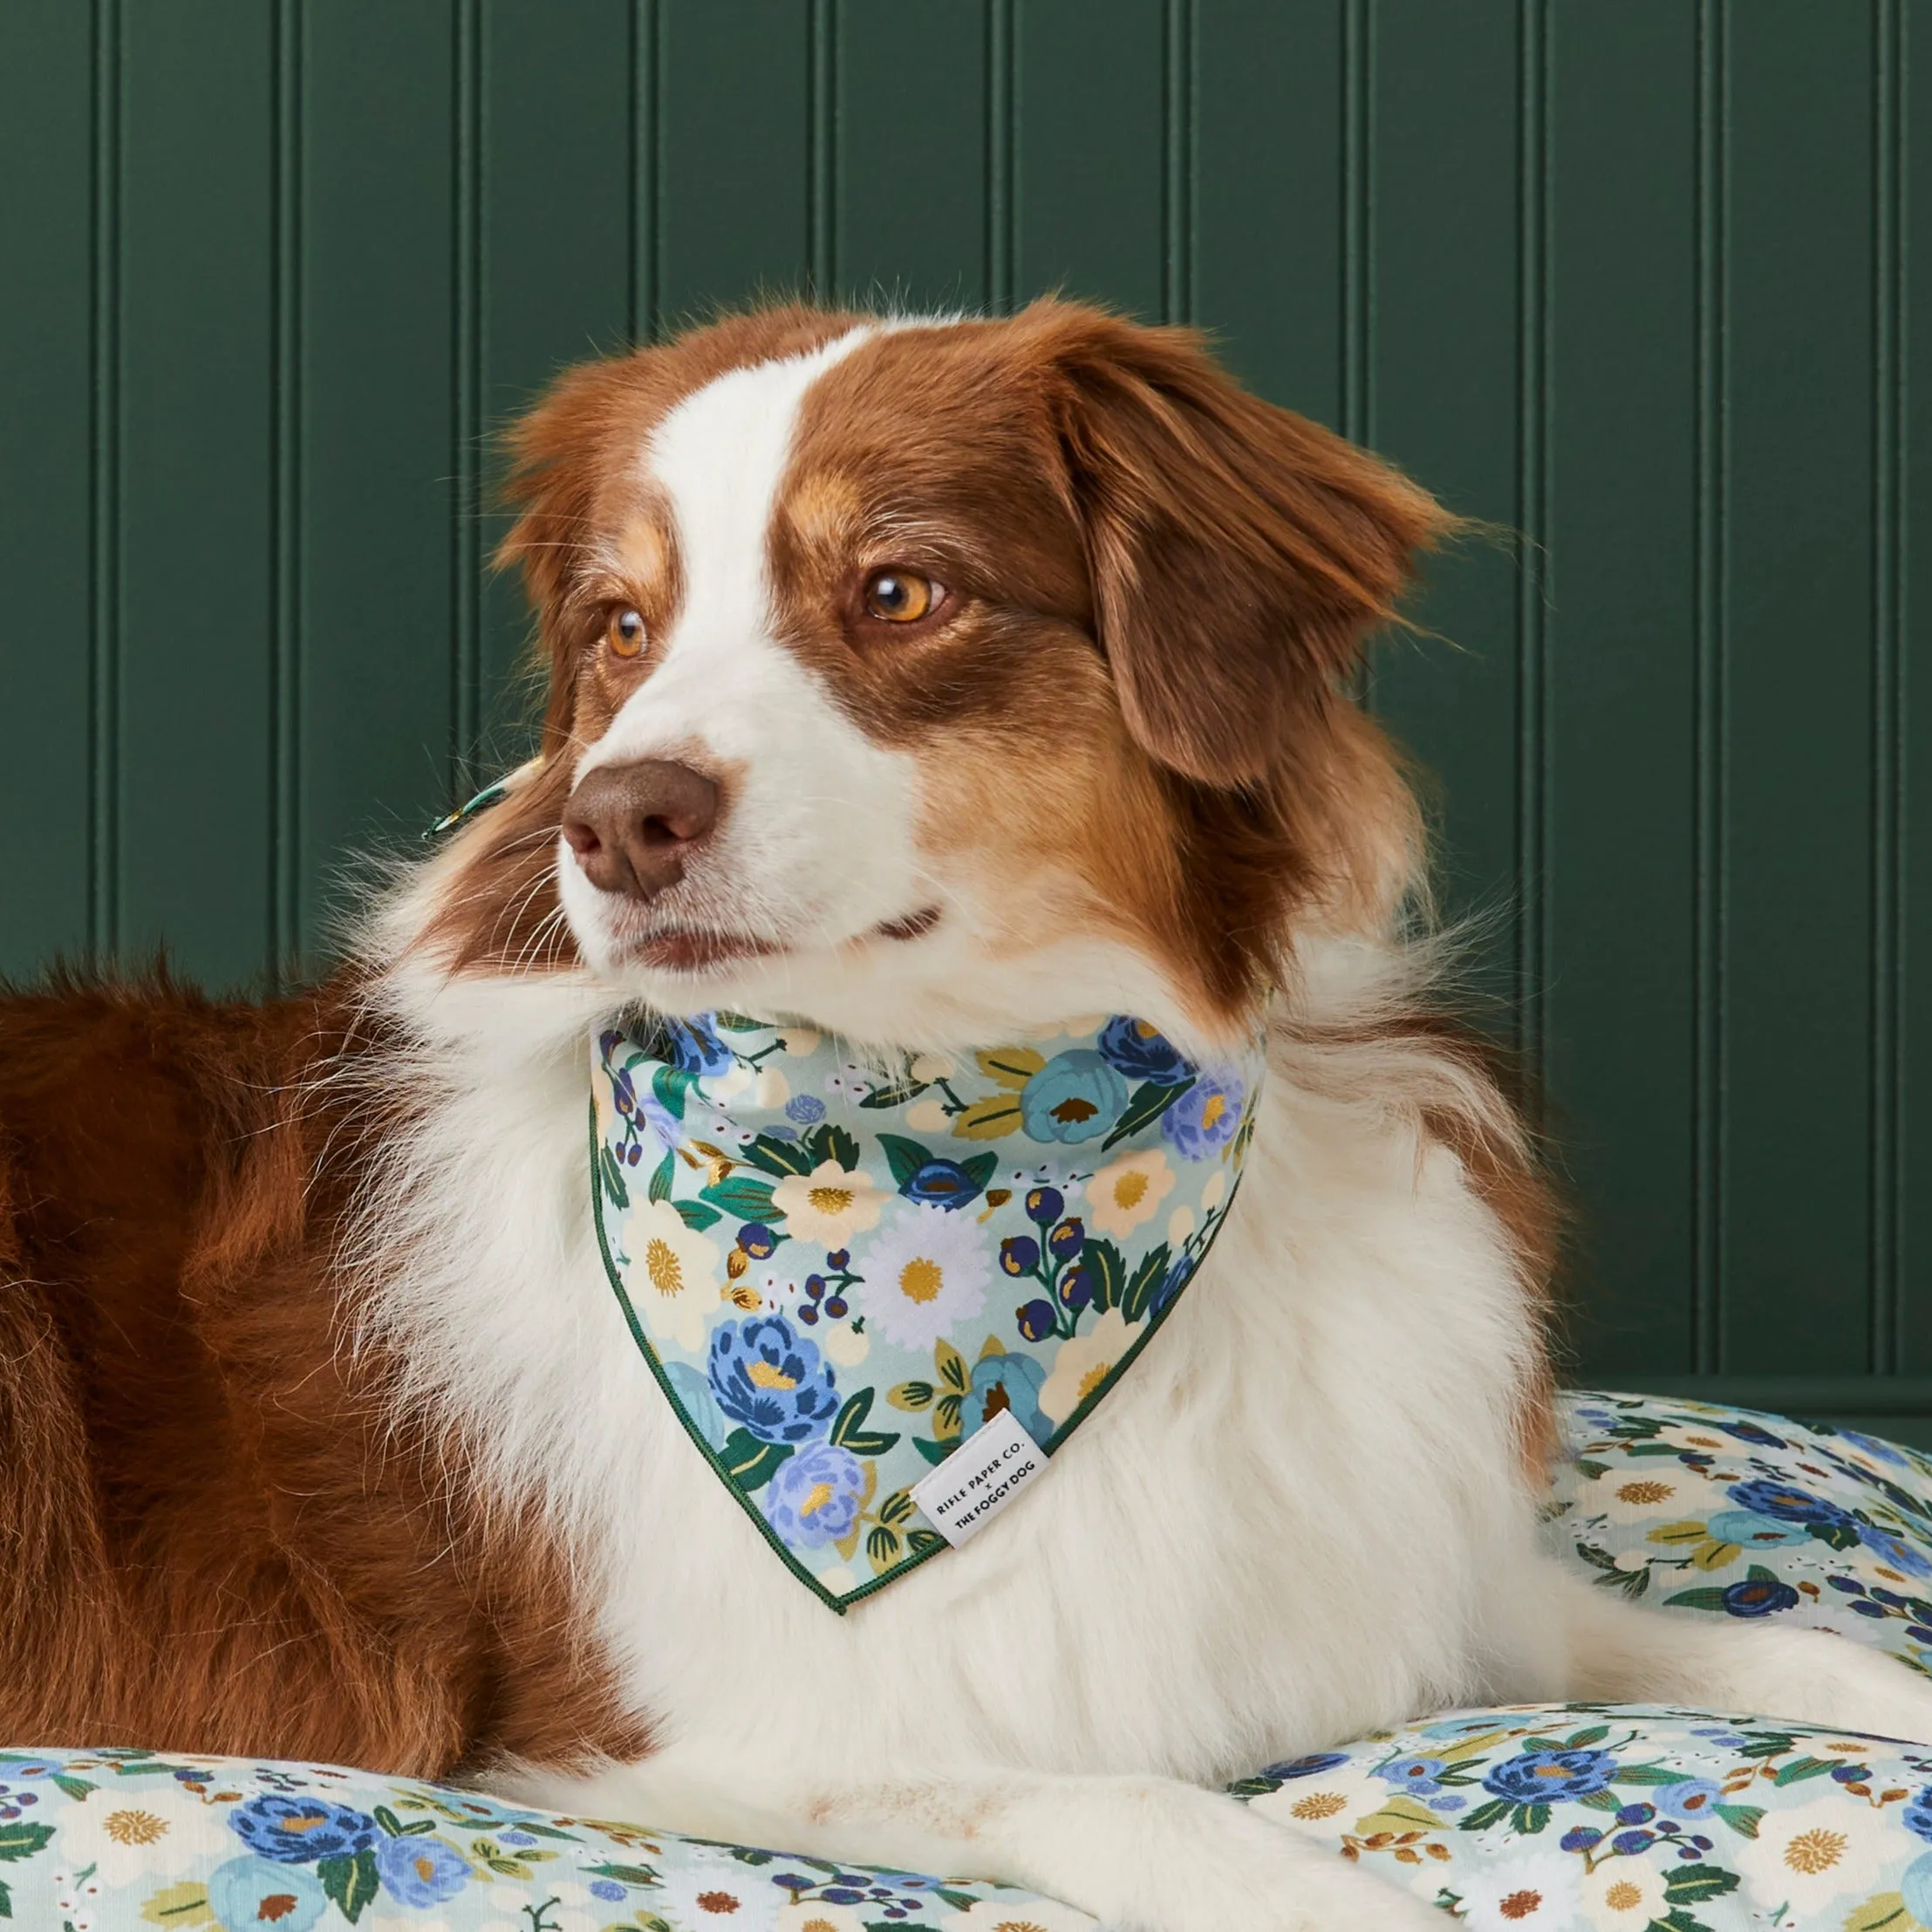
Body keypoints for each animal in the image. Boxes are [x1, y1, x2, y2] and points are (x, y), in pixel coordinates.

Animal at [3, 293, 1932, 1924]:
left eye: (897, 593)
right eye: (622, 627)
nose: (616, 820)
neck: (961, 1151)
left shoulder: (1410, 1567)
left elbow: (1765, 1645)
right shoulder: (652, 1730)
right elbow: (1160, 1812)